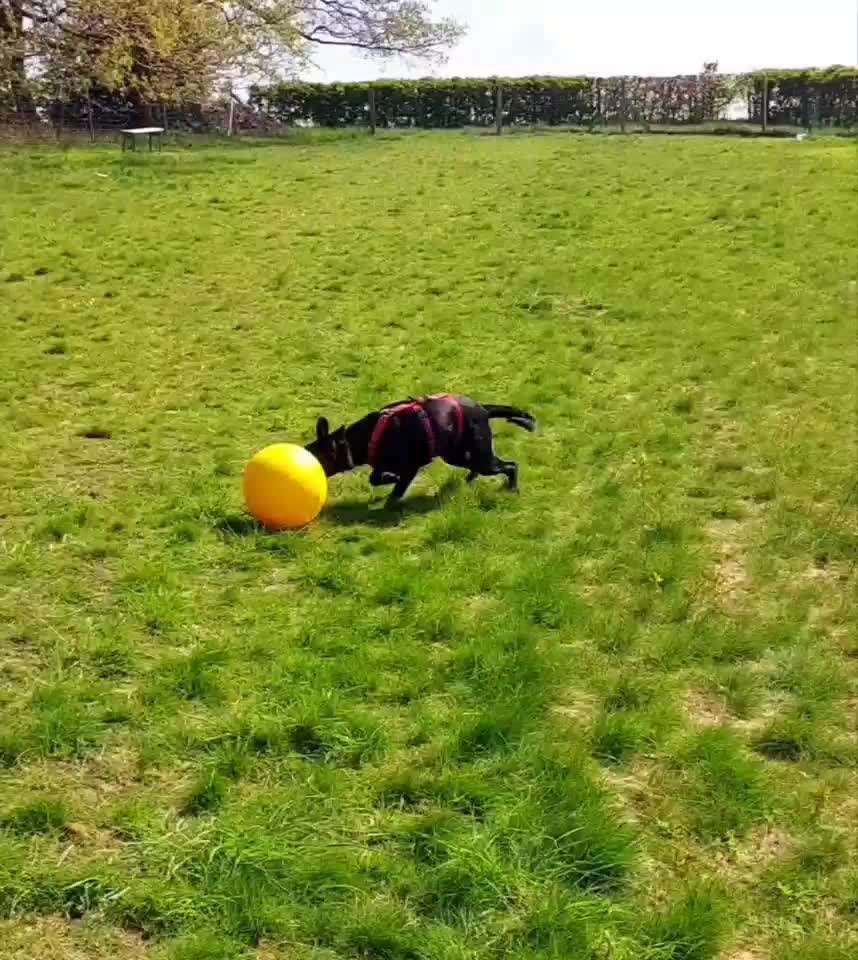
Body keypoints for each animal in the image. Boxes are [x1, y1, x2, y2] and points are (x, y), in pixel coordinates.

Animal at [306, 394, 536, 506]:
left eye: (318, 458)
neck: (369, 436)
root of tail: (484, 410)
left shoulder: (411, 468)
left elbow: (395, 488)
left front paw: (391, 498)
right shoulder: (382, 464)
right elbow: (375, 477)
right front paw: (389, 479)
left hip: (480, 457)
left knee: (511, 466)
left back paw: (512, 488)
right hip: (459, 455)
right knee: (480, 467)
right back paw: (469, 479)